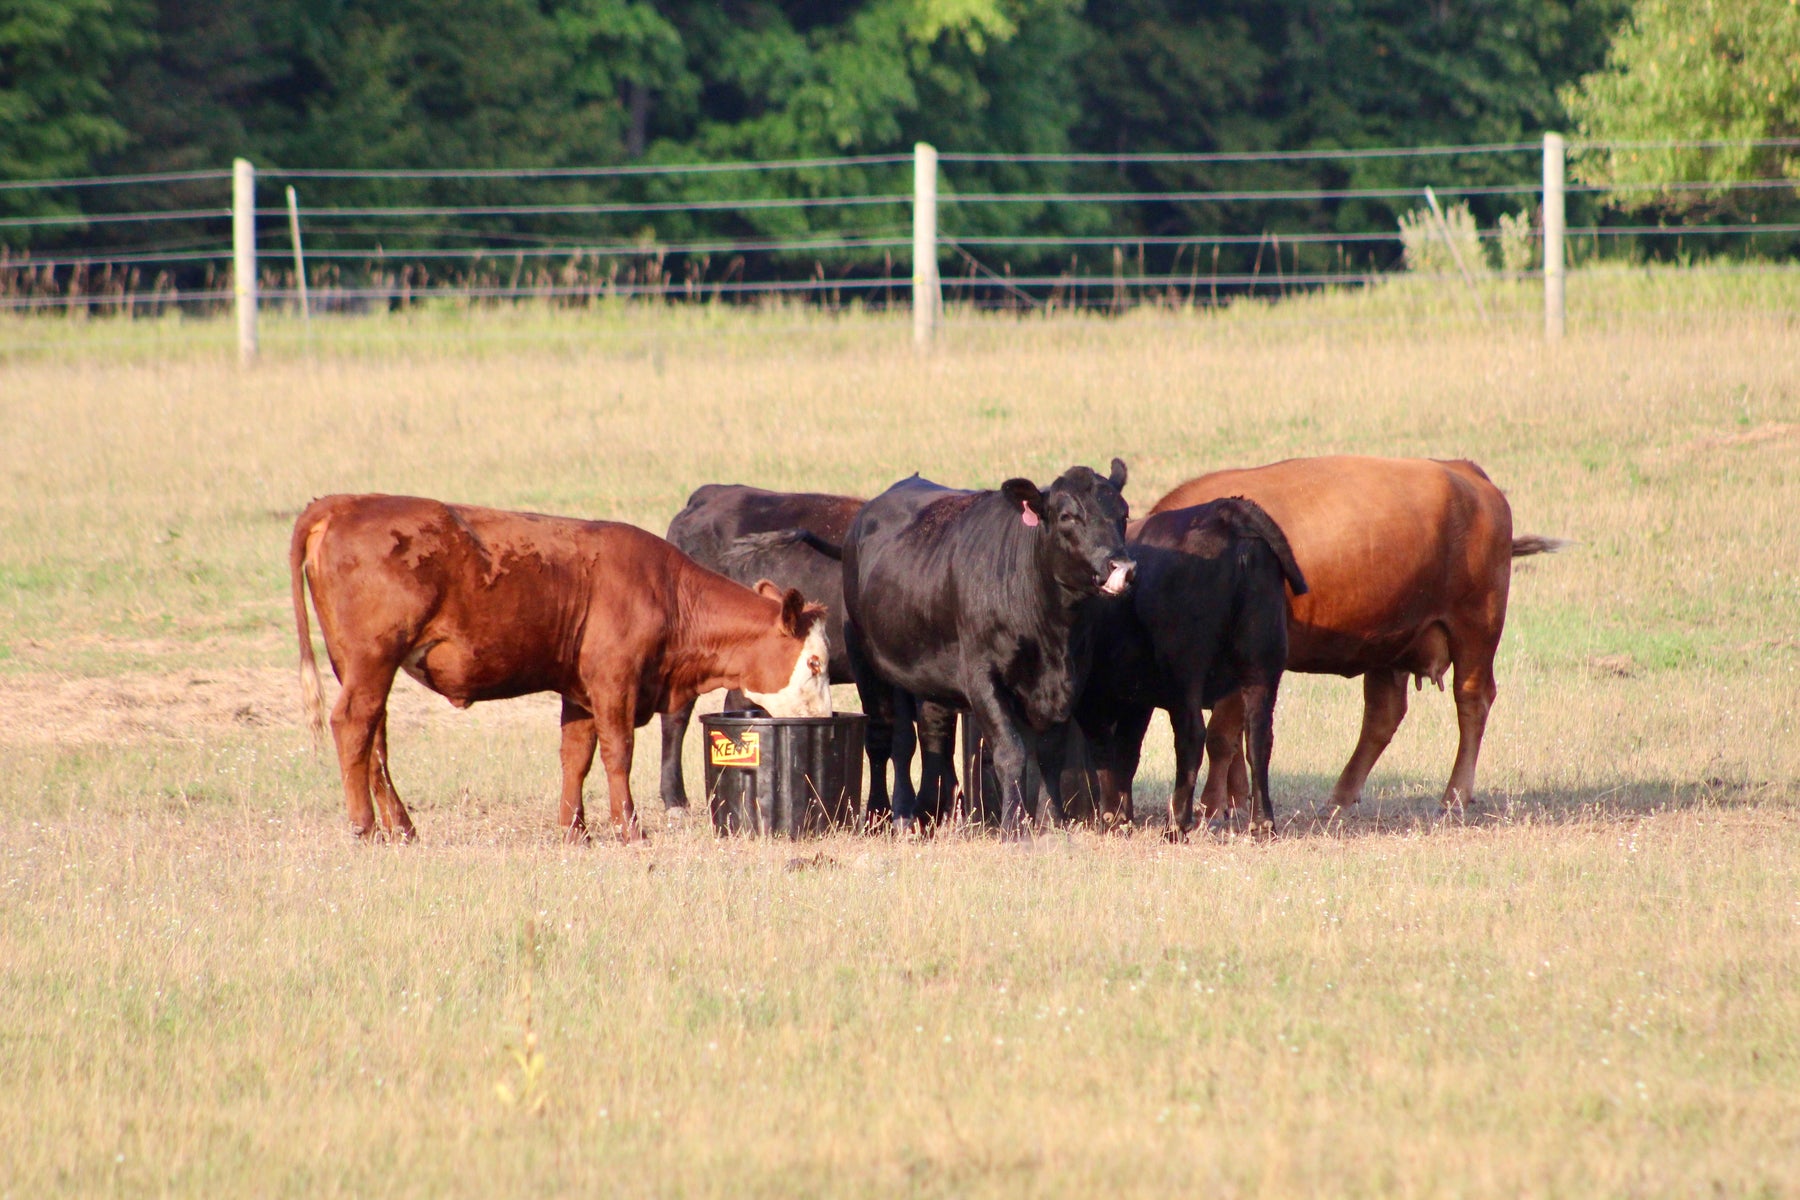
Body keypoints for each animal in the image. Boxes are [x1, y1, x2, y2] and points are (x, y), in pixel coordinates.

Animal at [288, 494, 830, 844]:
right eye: (815, 661)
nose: (824, 718)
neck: (668, 592)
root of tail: (342, 504)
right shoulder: (614, 683)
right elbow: (617, 753)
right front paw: (629, 827)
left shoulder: (580, 691)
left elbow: (576, 757)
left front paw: (575, 828)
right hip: (372, 659)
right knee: (353, 725)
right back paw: (365, 827)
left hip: (359, 665)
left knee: (374, 737)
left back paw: (401, 826)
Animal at [842, 462, 1136, 836]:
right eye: (1067, 515)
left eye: (1123, 513)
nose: (1121, 567)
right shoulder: (981, 676)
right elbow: (1010, 750)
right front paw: (1013, 825)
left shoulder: (1069, 680)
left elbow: (1049, 754)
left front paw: (1051, 821)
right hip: (867, 662)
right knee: (885, 738)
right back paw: (883, 816)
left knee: (933, 734)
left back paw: (928, 813)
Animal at [1075, 498, 1308, 837]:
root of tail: (1227, 515)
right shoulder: (1136, 701)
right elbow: (1127, 754)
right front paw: (1123, 815)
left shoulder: (1094, 699)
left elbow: (1105, 753)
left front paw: (1112, 818)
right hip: (1262, 665)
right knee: (1259, 737)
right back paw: (1262, 822)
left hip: (1186, 673)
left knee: (1192, 735)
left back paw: (1177, 823)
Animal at [1147, 455, 1562, 814]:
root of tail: (1465, 472)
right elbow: (1233, 739)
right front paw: (1232, 802)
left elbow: (1221, 738)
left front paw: (1211, 806)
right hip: (1390, 647)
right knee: (1383, 715)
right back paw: (1341, 797)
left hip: (1475, 631)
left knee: (1472, 701)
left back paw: (1454, 796)